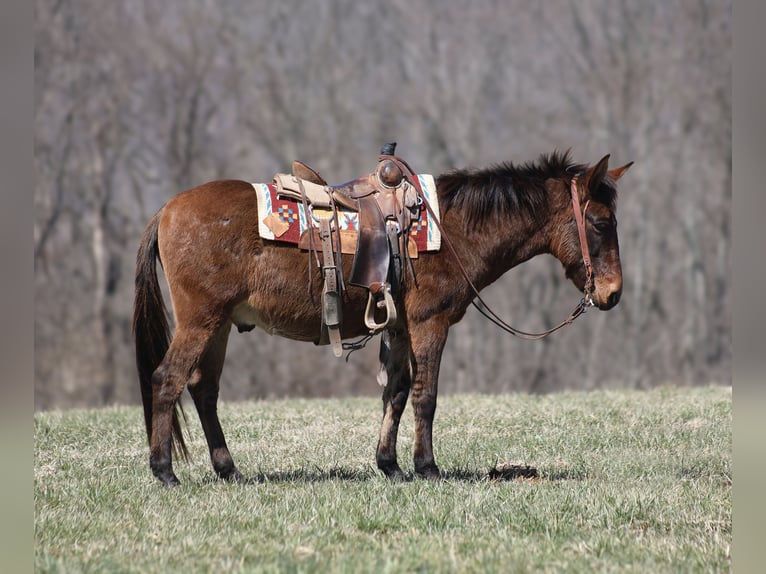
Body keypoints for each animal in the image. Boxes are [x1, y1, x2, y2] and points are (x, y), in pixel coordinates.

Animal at [134, 147, 636, 486]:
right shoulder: (430, 323)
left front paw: (390, 465)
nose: (613, 293)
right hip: (201, 320)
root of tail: (166, 210)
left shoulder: (398, 328)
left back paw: (228, 469)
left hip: (218, 324)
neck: (451, 229)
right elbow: (425, 395)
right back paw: (164, 471)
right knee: (167, 378)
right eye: (600, 223)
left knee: (203, 389)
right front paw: (427, 467)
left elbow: (394, 393)